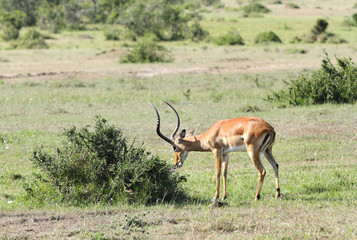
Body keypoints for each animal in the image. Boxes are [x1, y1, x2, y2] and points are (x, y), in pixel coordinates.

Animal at [149, 101, 280, 202]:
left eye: (175, 147)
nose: (176, 163)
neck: (212, 132)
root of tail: (269, 128)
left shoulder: (216, 151)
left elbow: (217, 172)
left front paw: (215, 197)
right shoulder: (225, 153)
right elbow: (225, 173)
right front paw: (224, 196)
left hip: (253, 152)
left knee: (262, 171)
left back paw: (256, 197)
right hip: (267, 151)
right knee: (275, 165)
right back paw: (277, 194)